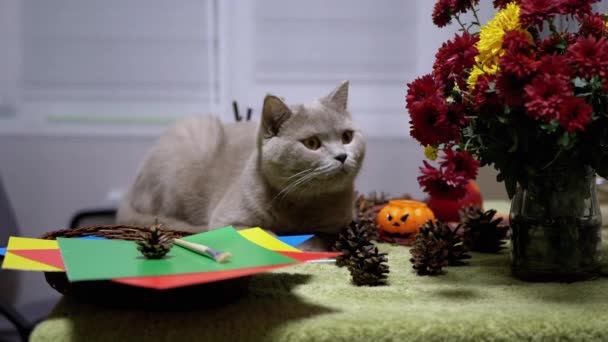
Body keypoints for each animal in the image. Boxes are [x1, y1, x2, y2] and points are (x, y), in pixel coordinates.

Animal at [117, 80, 366, 246]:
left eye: (347, 137)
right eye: (312, 143)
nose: (342, 156)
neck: (302, 205)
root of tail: (129, 193)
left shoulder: (340, 225)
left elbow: (321, 237)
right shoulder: (228, 219)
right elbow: (265, 233)